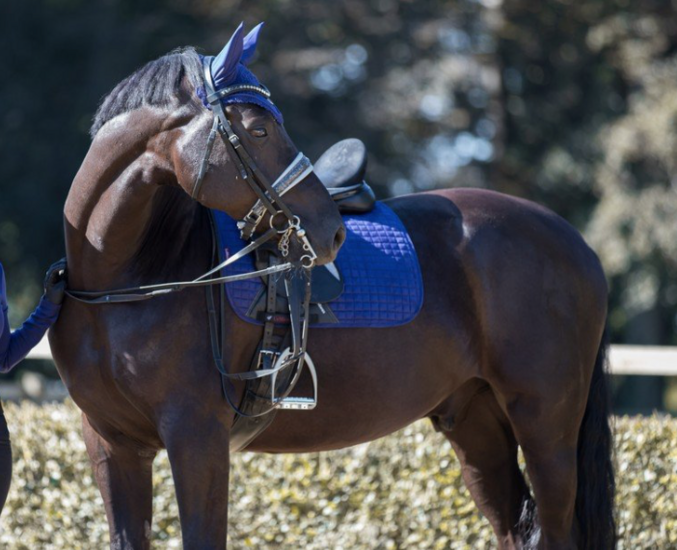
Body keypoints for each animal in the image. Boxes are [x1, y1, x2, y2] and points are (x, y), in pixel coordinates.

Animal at [50, 27, 616, 550]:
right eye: (258, 129)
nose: (331, 231)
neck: (127, 280)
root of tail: (574, 242)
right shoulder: (112, 445)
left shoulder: (197, 437)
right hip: (476, 424)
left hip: (546, 426)